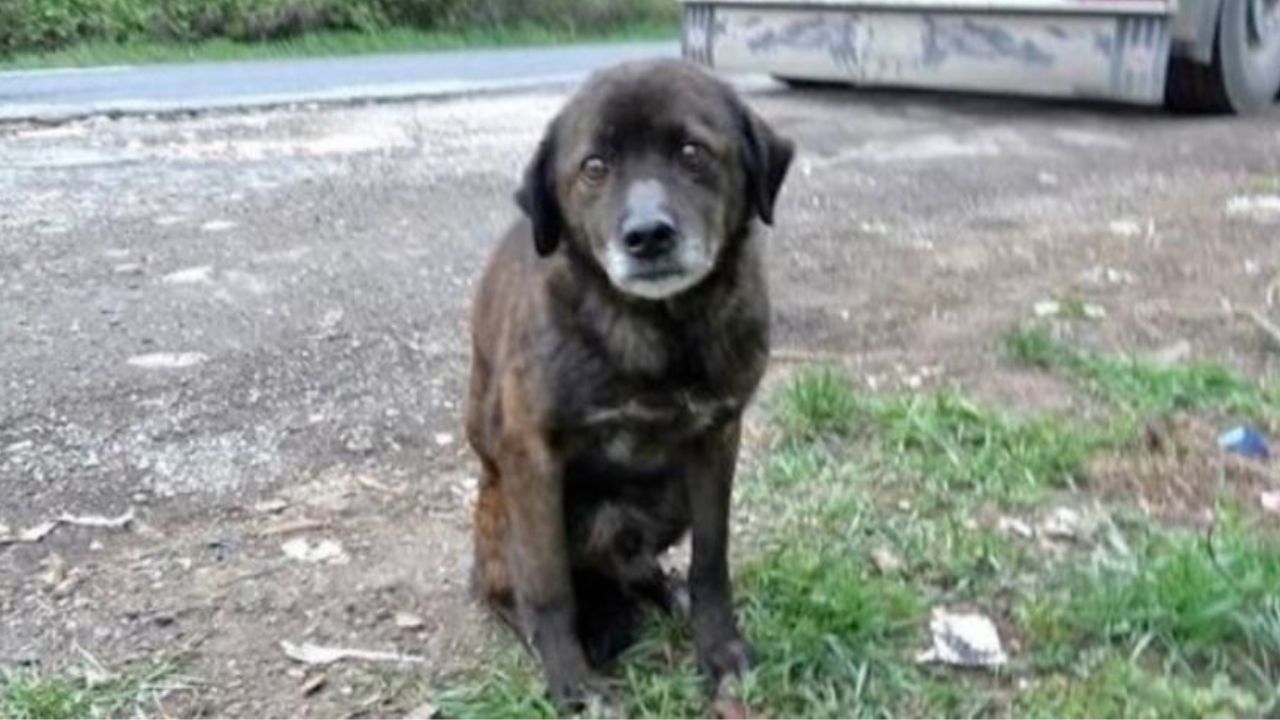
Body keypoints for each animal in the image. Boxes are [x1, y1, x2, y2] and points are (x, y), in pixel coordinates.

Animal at [465, 57, 793, 707]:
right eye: (594, 167)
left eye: (693, 151)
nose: (647, 236)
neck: (658, 330)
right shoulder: (531, 457)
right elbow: (548, 586)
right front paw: (571, 683)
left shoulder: (716, 437)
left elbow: (711, 561)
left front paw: (718, 647)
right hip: (501, 508)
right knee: (513, 588)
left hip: (667, 501)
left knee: (638, 568)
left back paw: (664, 592)